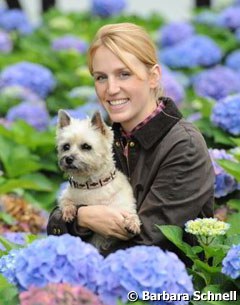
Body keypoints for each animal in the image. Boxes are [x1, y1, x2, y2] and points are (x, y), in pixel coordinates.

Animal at [56, 109, 141, 249]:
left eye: (86, 146)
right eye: (66, 147)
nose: (68, 159)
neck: (92, 184)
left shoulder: (123, 206)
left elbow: (130, 213)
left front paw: (133, 222)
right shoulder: (66, 195)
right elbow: (66, 201)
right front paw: (69, 211)